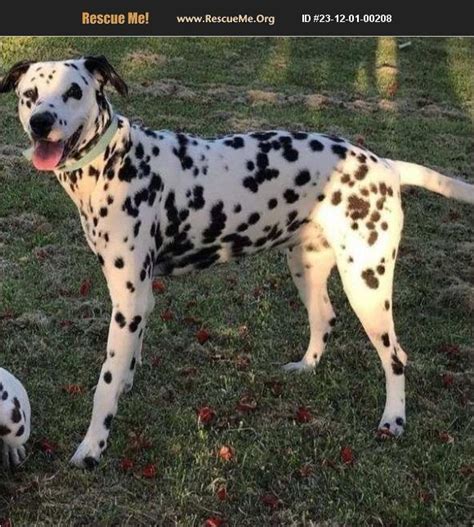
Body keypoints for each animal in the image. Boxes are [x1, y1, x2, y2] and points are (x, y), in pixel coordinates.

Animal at [0, 58, 474, 470]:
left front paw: (93, 446)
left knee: (395, 356)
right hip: (305, 267)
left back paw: (393, 419)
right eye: (29, 95)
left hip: (367, 285)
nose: (42, 121)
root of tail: (386, 167)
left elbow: (105, 383)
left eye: (74, 91)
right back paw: (306, 367)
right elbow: (126, 364)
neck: (117, 163)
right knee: (325, 317)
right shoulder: (138, 301)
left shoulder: (128, 301)